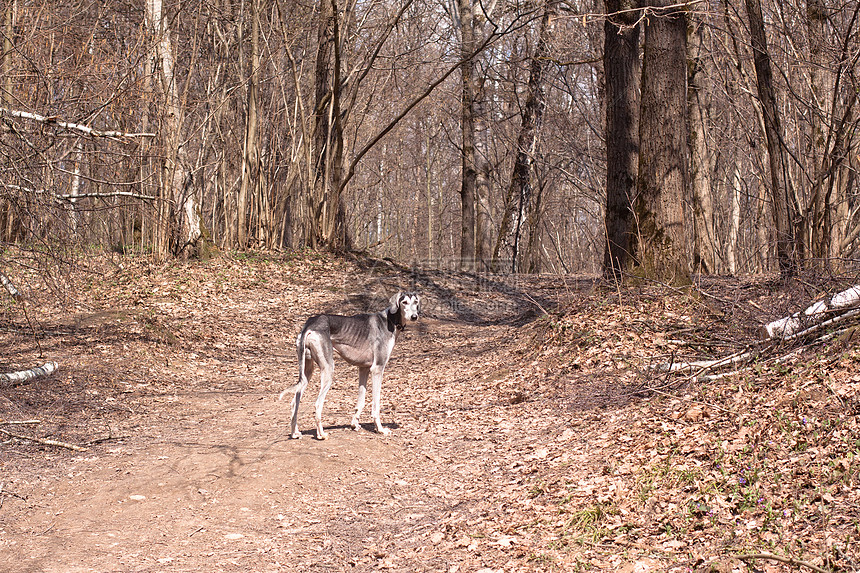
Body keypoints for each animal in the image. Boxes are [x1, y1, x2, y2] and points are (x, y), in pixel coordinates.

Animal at [278, 290, 420, 438]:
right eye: (404, 302)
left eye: (416, 302)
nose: (414, 317)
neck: (390, 320)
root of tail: (310, 324)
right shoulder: (377, 369)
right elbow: (376, 405)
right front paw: (380, 429)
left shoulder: (363, 369)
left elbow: (360, 402)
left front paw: (354, 424)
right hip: (328, 369)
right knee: (317, 404)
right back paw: (321, 434)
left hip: (306, 372)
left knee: (294, 402)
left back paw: (295, 432)